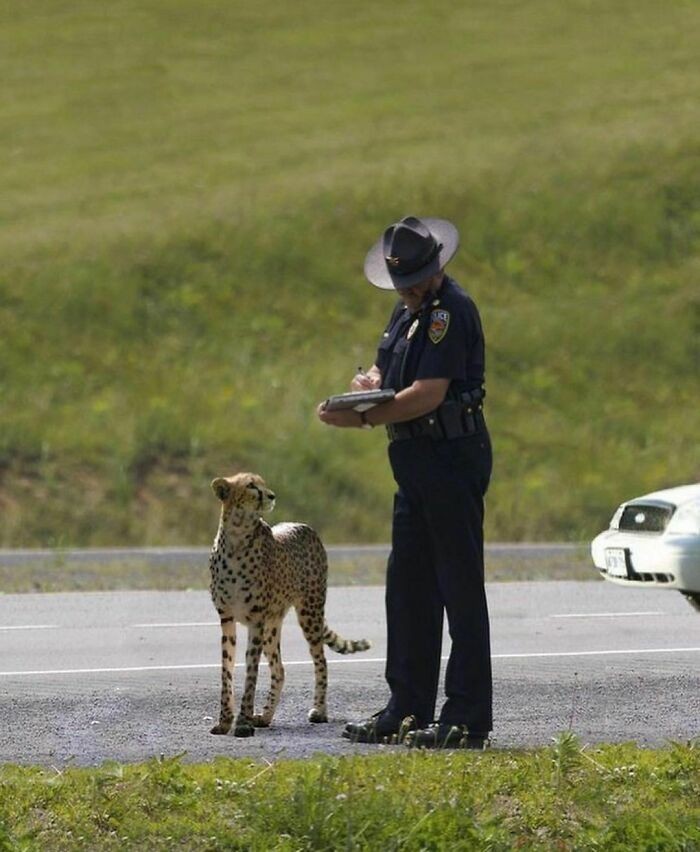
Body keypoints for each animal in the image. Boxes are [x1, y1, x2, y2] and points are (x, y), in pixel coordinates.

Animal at [208, 470, 372, 736]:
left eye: (263, 484)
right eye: (251, 486)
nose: (272, 495)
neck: (237, 536)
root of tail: (303, 525)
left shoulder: (256, 620)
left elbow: (251, 673)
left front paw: (242, 722)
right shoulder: (227, 617)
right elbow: (227, 670)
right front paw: (225, 721)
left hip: (309, 612)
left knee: (321, 660)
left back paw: (319, 711)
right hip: (272, 626)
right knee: (279, 670)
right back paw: (265, 716)